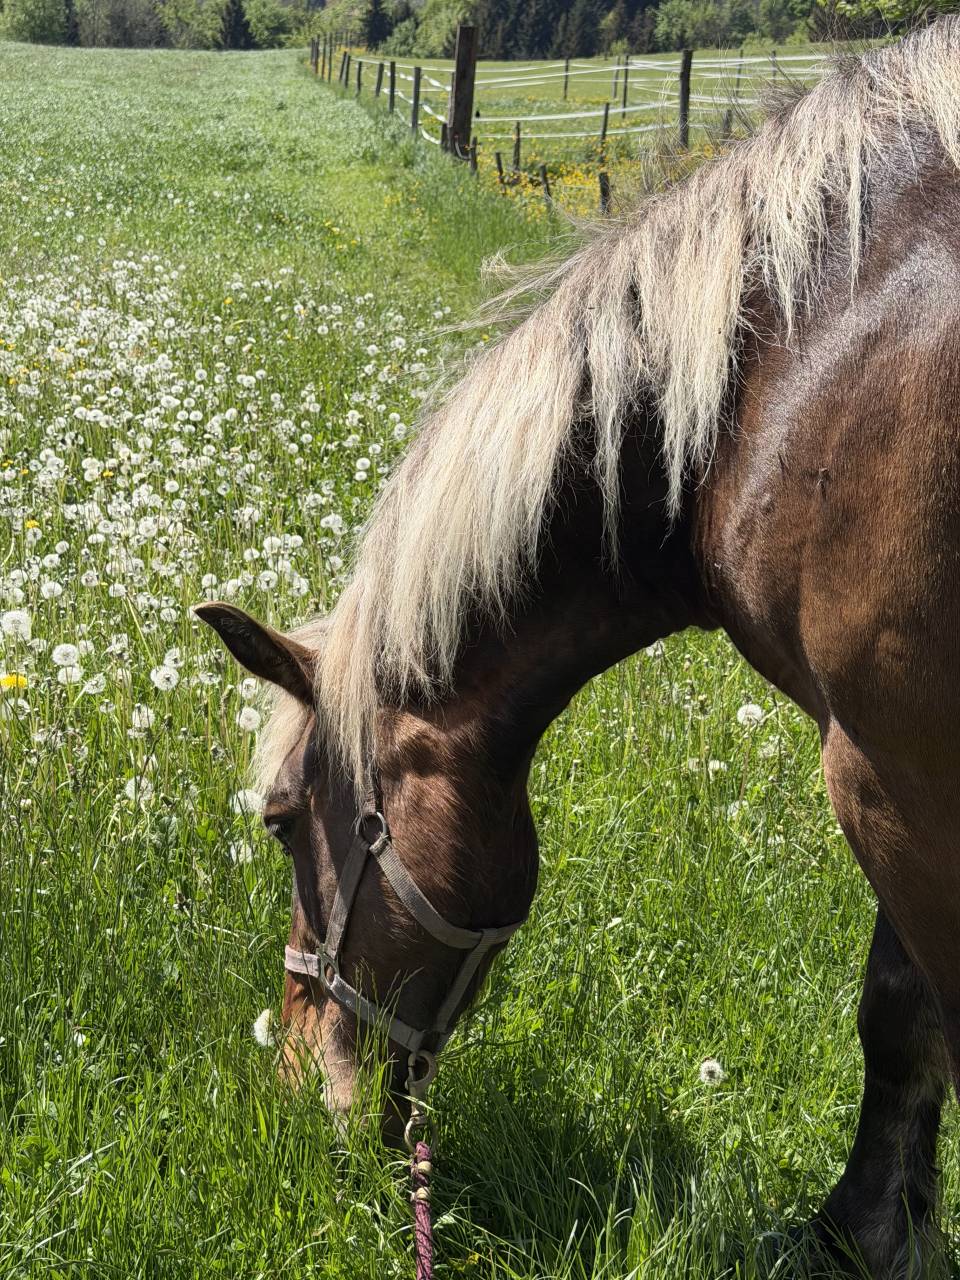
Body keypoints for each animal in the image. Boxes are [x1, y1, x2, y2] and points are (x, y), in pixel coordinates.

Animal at [198, 19, 960, 1275]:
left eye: (277, 819)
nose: (303, 1084)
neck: (792, 362)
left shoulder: (893, 762)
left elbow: (917, 1009)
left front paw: (866, 1229)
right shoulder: (898, 763)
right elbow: (905, 1000)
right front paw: (883, 1227)